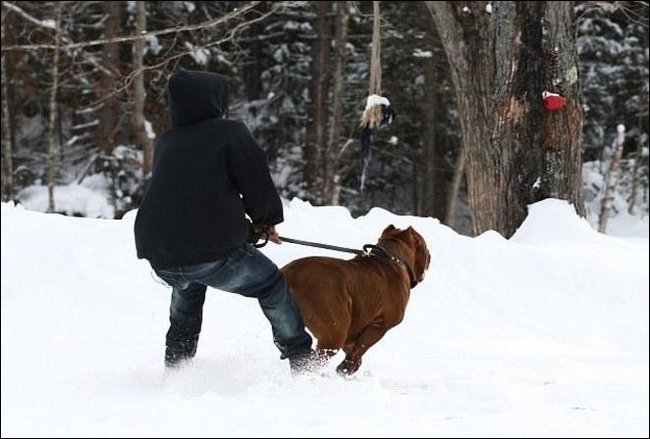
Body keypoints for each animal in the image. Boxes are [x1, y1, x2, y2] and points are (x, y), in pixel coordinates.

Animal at [280, 227, 428, 374]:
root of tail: (289, 273)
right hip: (333, 333)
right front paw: (347, 368)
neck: (392, 257)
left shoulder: (353, 328)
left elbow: (352, 348)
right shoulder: (379, 326)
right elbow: (361, 347)